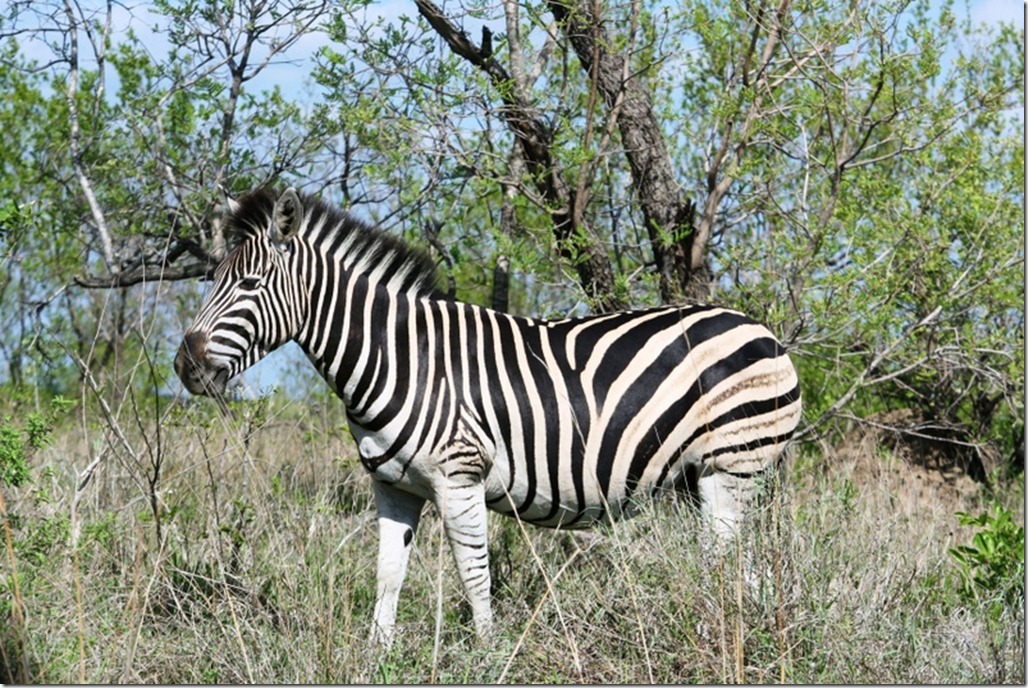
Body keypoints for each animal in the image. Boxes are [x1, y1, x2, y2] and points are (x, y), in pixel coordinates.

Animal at [174, 186, 801, 645]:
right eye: (210, 280)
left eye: (249, 283)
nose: (185, 366)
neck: (402, 357)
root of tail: (761, 329)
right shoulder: (392, 485)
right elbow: (388, 574)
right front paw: (377, 655)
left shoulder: (459, 476)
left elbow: (474, 573)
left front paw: (488, 652)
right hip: (705, 478)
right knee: (744, 568)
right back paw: (751, 635)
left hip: (731, 468)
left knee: (724, 563)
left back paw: (723, 634)